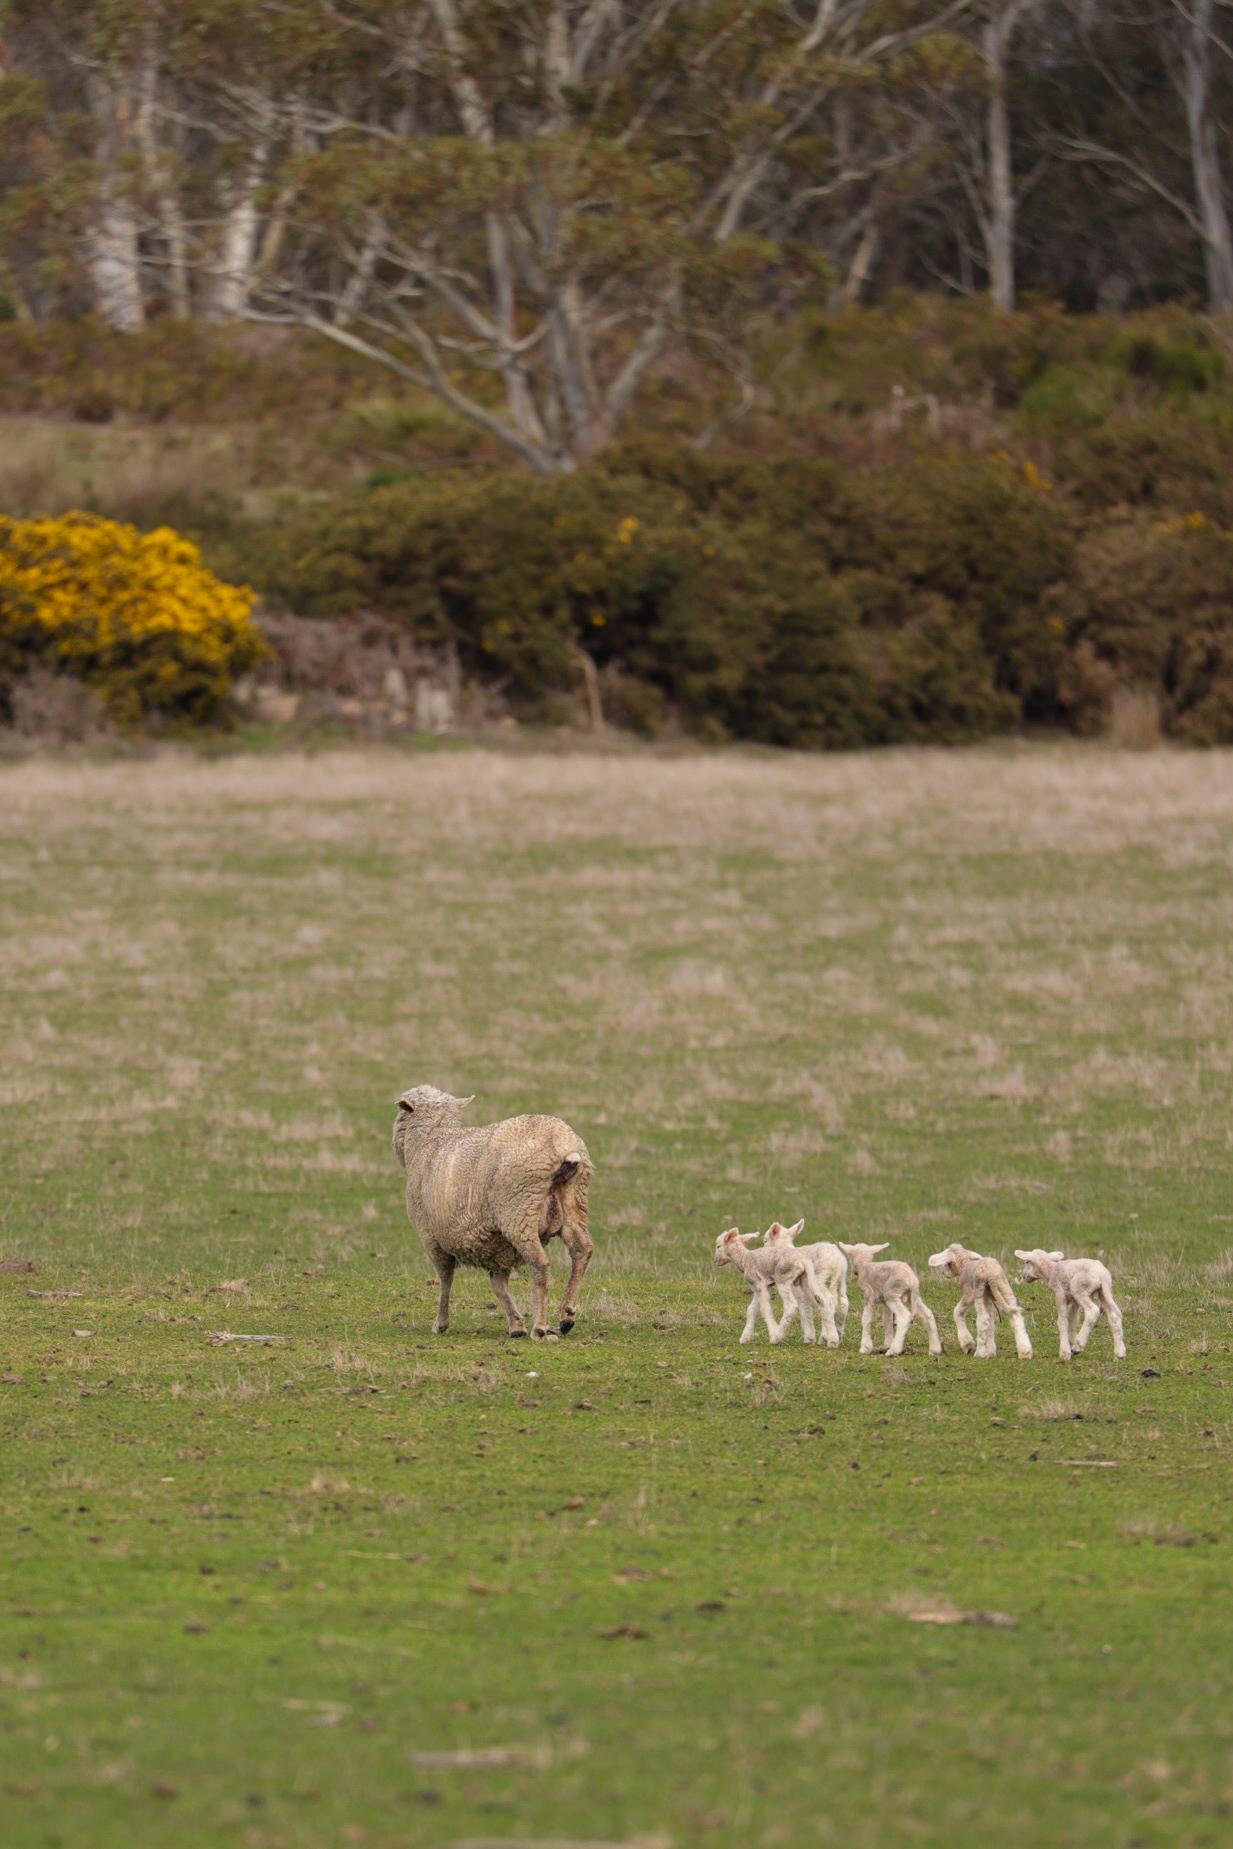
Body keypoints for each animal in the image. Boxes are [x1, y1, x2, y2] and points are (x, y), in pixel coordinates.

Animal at [393, 1085, 593, 1340]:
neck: (430, 1138)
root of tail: (561, 1145)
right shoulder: (497, 1245)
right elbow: (499, 1285)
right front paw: (515, 1325)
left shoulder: (431, 1236)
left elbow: (446, 1277)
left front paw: (441, 1323)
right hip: (573, 1200)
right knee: (581, 1250)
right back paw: (566, 1315)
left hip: (519, 1211)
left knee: (540, 1264)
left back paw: (540, 1328)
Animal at [761, 1219, 848, 1348]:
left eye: (765, 1240)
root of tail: (837, 1261)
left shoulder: (800, 1293)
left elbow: (805, 1311)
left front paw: (809, 1338)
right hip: (840, 1281)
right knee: (842, 1303)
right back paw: (838, 1334)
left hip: (819, 1280)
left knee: (827, 1302)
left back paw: (831, 1340)